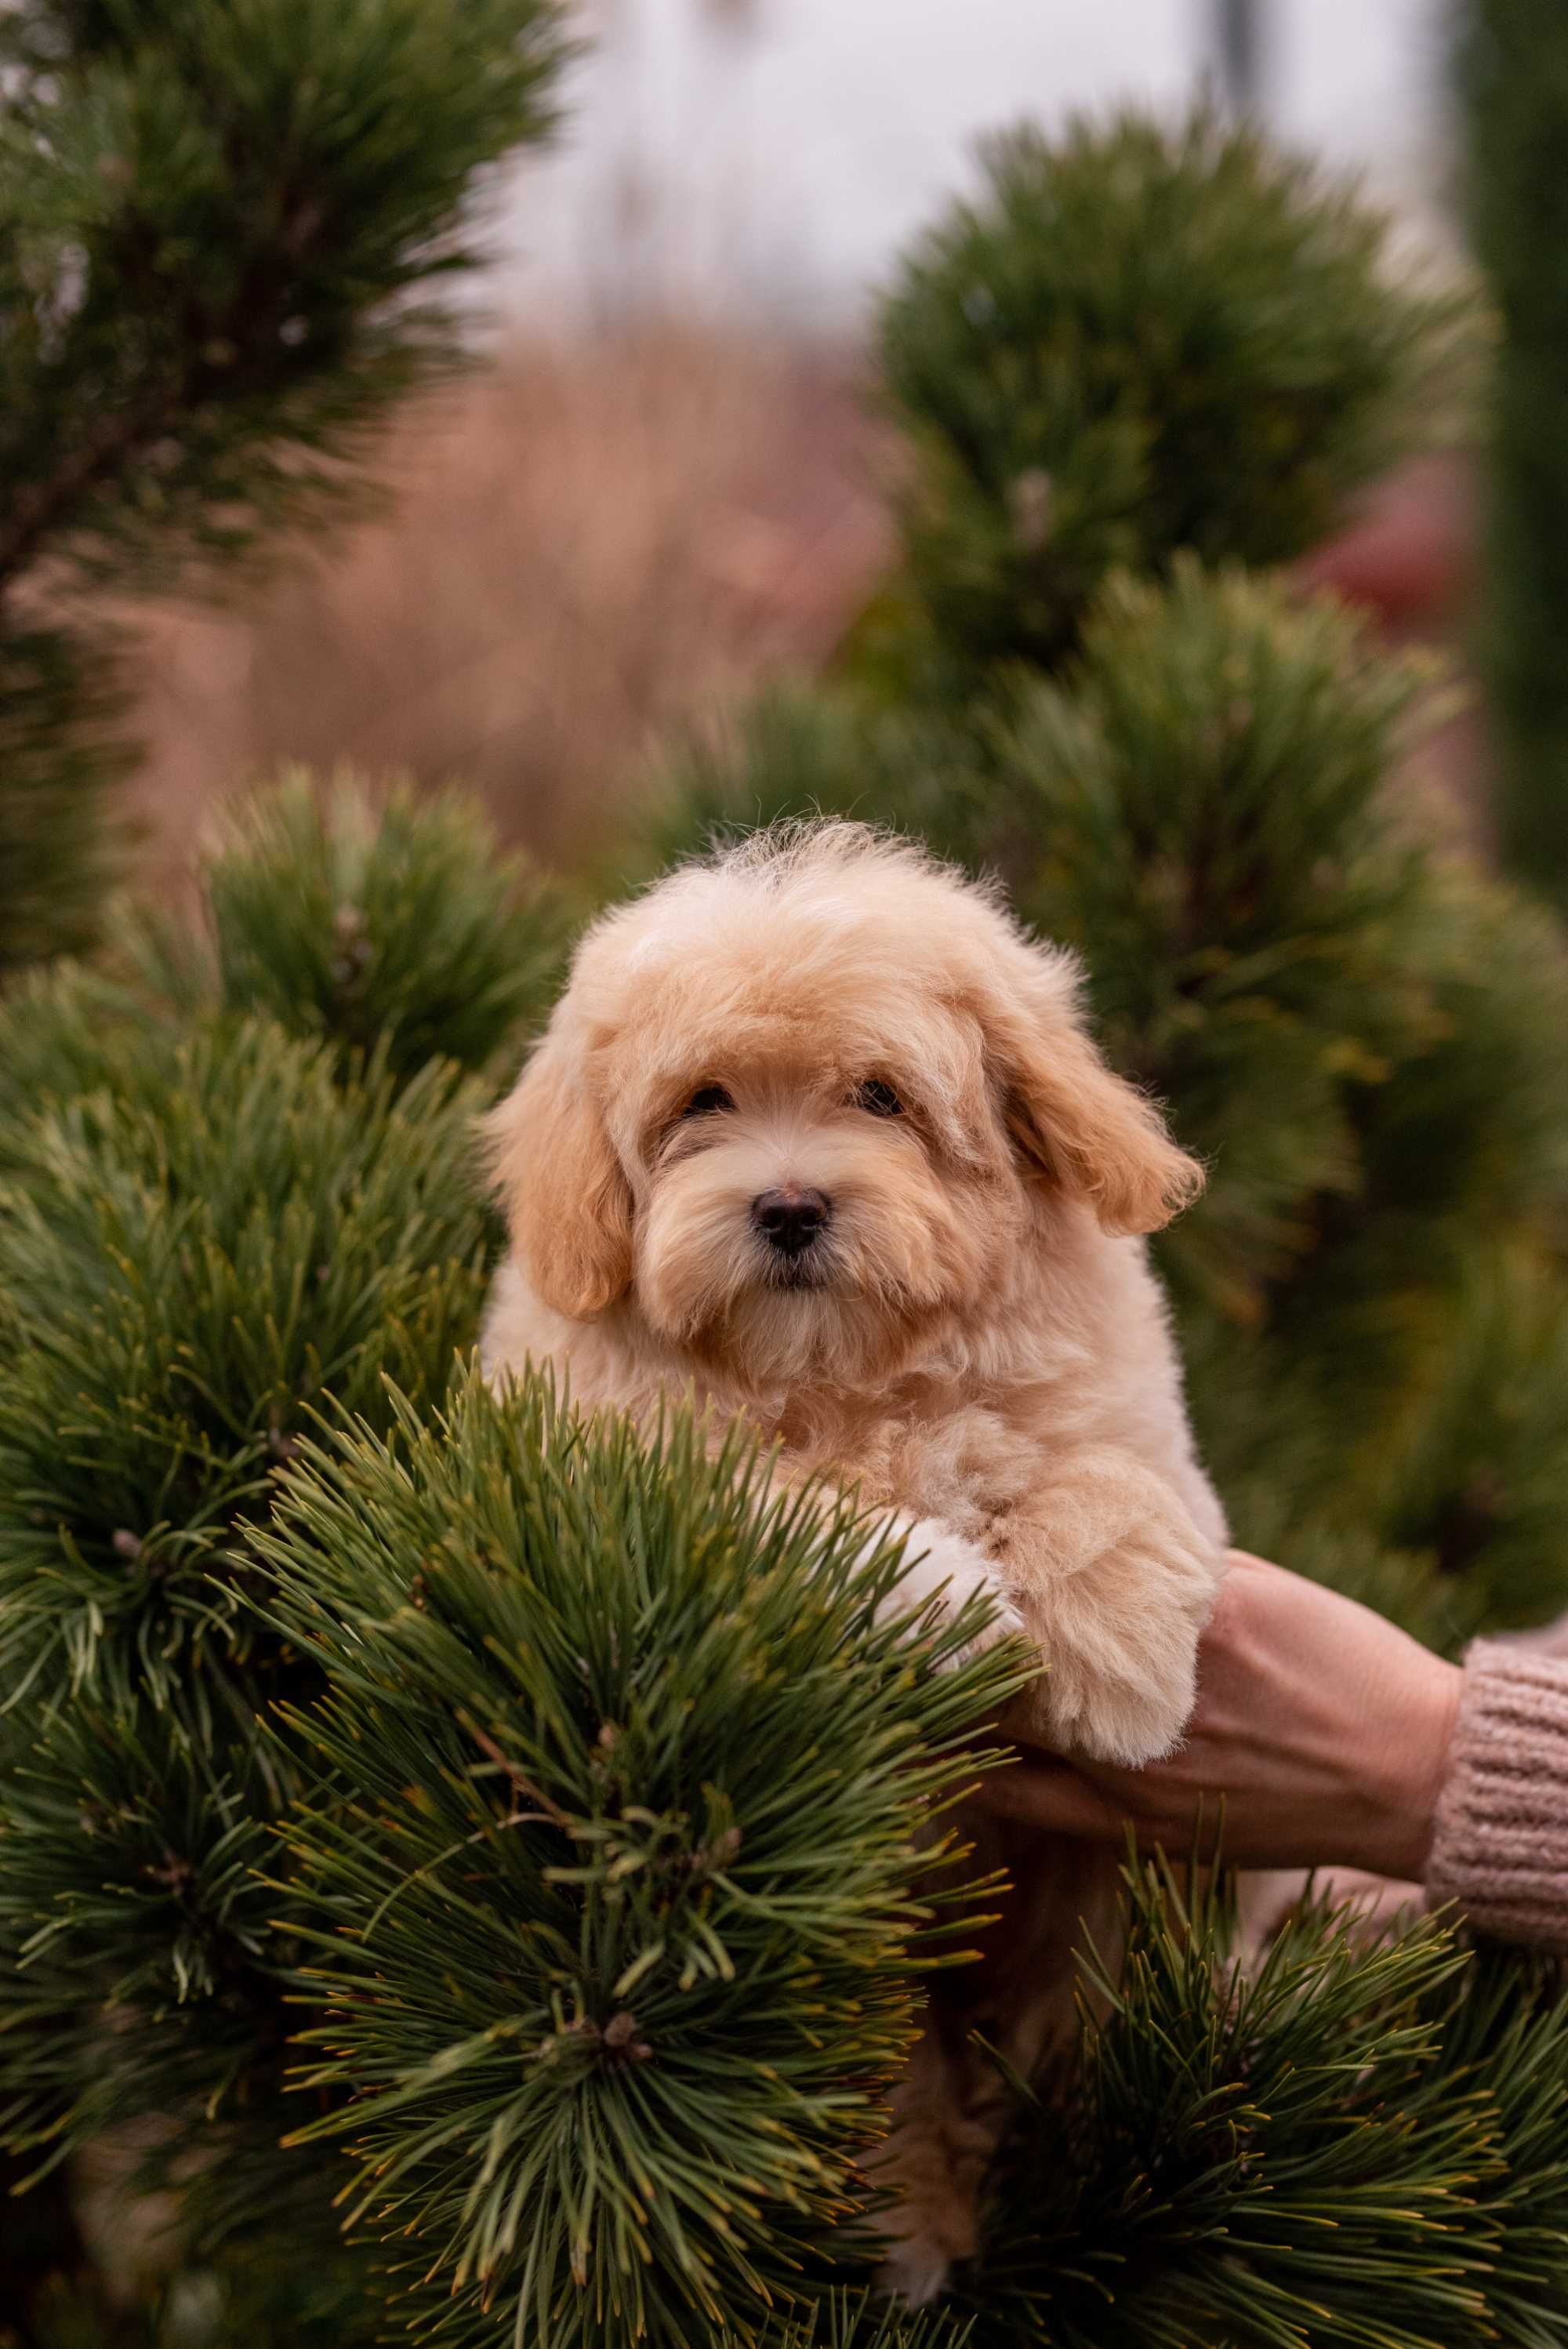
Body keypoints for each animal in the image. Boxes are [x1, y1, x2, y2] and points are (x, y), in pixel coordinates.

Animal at [478, 817, 1220, 2302]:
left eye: (880, 1096)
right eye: (701, 1102)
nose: (788, 1206)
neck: (845, 1377)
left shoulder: (1131, 1427)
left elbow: (1096, 1477)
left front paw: (1123, 1662)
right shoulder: (612, 1480)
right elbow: (778, 1511)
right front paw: (947, 1599)